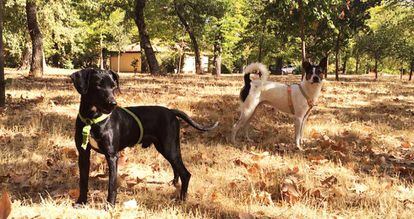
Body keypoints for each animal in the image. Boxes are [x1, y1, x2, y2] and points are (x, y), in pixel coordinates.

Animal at [70, 69, 220, 205]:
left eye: (113, 86)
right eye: (98, 85)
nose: (113, 104)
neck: (92, 119)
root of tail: (171, 112)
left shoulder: (112, 155)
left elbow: (111, 185)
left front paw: (110, 206)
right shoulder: (83, 154)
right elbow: (83, 181)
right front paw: (81, 202)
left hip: (169, 147)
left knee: (186, 173)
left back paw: (182, 199)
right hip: (165, 148)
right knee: (177, 167)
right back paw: (174, 184)